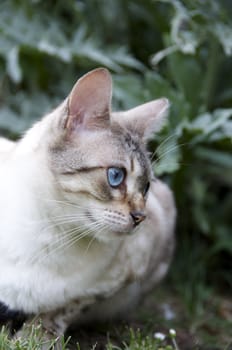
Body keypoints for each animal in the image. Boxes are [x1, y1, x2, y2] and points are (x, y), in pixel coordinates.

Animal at [0, 67, 175, 346]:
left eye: (146, 186)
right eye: (115, 176)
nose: (140, 217)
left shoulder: (122, 272)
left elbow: (60, 309)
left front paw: (35, 339)